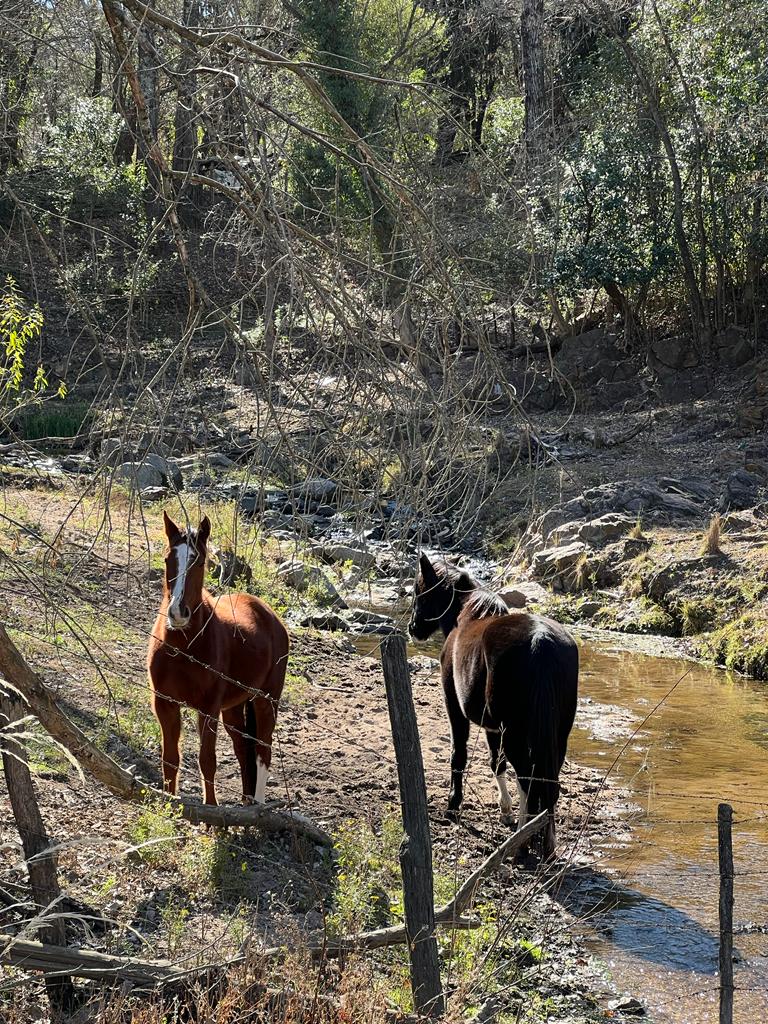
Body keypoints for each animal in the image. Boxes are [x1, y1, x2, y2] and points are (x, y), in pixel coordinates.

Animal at [147, 516, 288, 802]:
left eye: (200, 562)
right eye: (168, 559)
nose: (177, 613)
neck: (183, 648)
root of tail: (270, 615)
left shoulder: (208, 708)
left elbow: (207, 760)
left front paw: (210, 808)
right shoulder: (165, 703)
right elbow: (170, 759)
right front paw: (167, 803)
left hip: (266, 701)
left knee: (262, 752)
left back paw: (257, 805)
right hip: (234, 708)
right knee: (243, 749)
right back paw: (246, 803)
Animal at [409, 552, 577, 856]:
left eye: (419, 590)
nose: (412, 628)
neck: (467, 614)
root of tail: (540, 640)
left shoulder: (456, 708)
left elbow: (459, 755)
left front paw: (453, 805)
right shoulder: (493, 727)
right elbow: (496, 763)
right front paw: (506, 811)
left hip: (517, 734)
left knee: (529, 779)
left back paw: (522, 843)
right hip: (557, 735)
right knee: (546, 782)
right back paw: (543, 843)